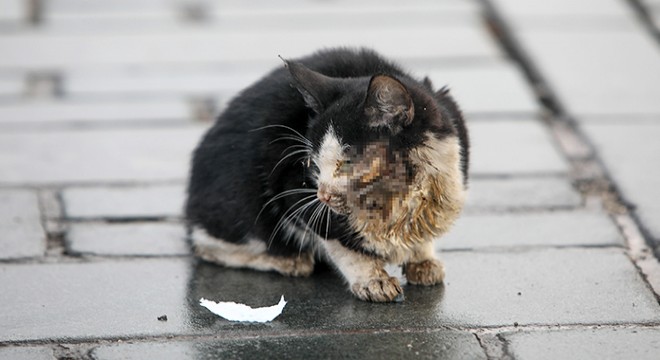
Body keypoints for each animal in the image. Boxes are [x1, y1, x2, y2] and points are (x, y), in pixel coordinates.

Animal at [184, 47, 470, 300]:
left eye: (348, 161)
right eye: (312, 163)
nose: (322, 195)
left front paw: (423, 260)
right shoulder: (293, 190)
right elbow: (338, 242)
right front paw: (372, 280)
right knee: (206, 244)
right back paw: (289, 261)